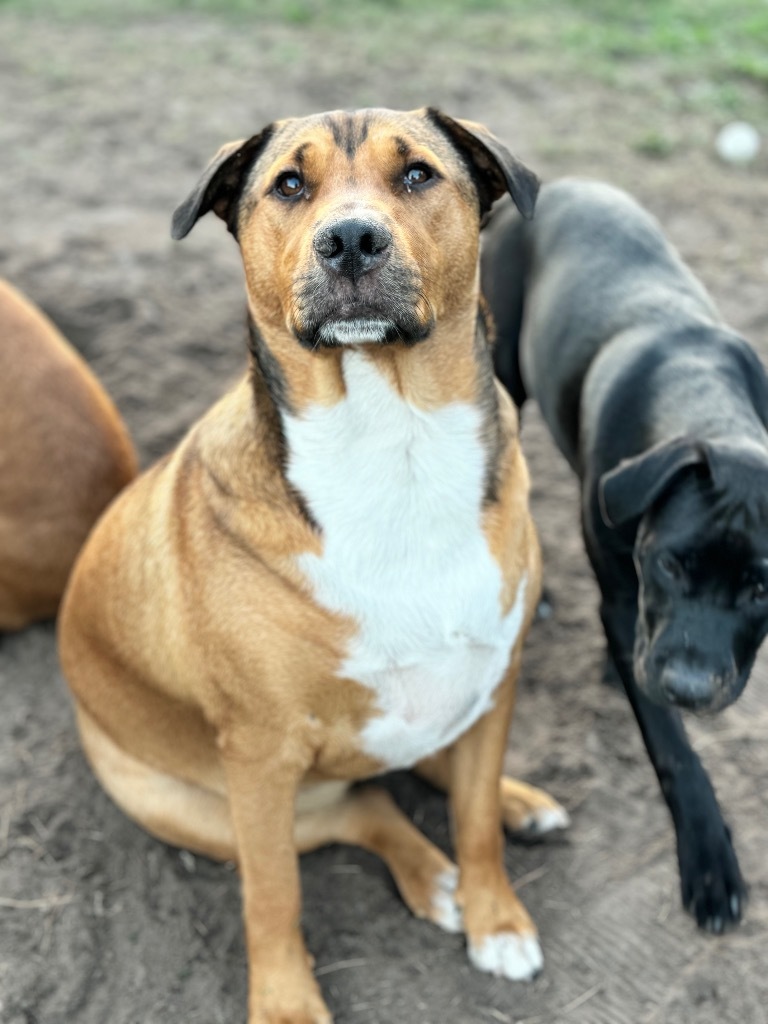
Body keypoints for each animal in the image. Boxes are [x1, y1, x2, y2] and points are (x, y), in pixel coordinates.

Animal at [57, 108, 569, 1019]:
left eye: (418, 174)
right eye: (289, 184)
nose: (353, 240)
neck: (394, 444)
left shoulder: (494, 678)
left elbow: (473, 818)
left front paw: (498, 916)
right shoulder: (261, 757)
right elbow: (274, 894)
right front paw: (288, 1003)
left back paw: (512, 813)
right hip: (193, 803)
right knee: (355, 812)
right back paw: (433, 879)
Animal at [481, 180, 768, 933]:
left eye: (761, 591)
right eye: (669, 565)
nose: (689, 689)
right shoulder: (617, 595)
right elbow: (673, 749)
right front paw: (709, 861)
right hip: (502, 369)